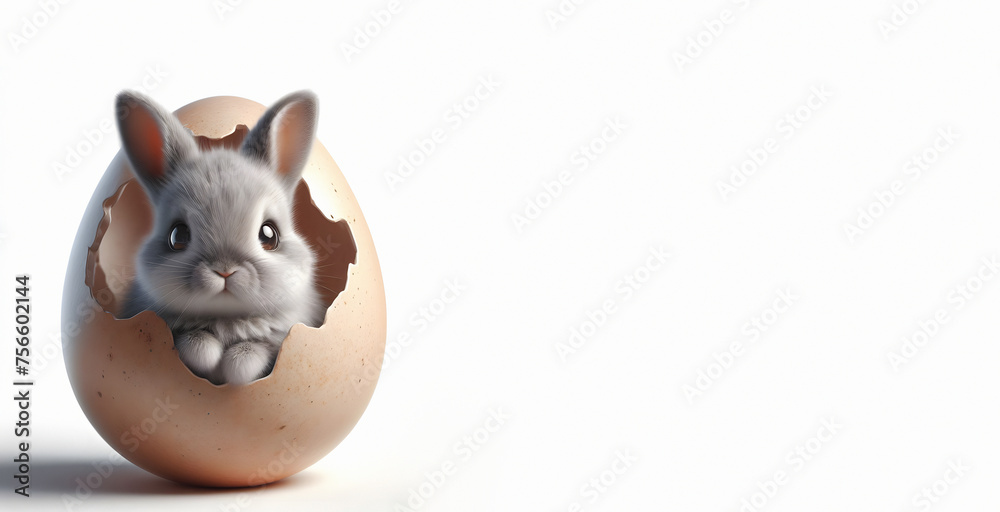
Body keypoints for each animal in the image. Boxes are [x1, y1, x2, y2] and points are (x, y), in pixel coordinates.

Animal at [116, 90, 326, 385]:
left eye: (270, 235)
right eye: (177, 235)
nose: (225, 271)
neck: (225, 318)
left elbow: (254, 352)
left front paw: (236, 367)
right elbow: (194, 342)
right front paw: (209, 355)